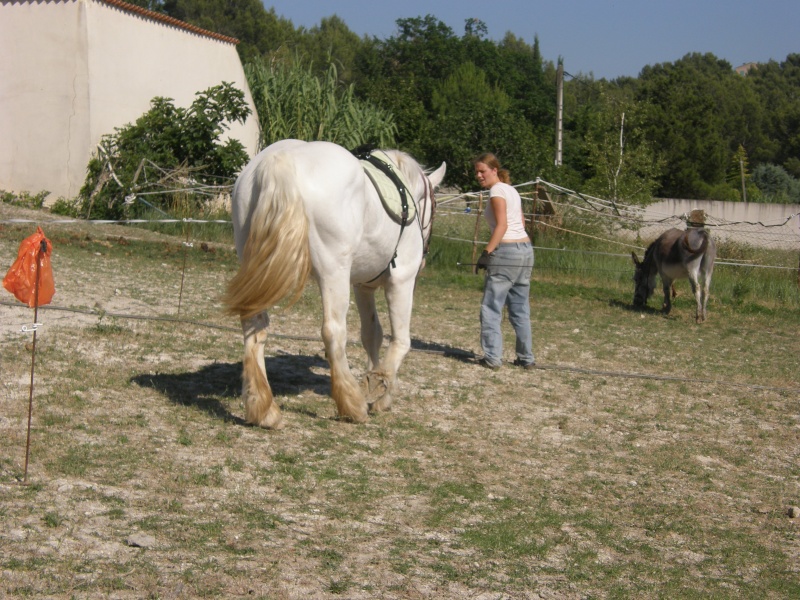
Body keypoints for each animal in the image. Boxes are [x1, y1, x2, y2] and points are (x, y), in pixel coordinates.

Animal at [225, 138, 446, 428]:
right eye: (434, 206)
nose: (423, 262)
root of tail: (281, 160)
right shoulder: (401, 281)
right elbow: (400, 341)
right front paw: (382, 392)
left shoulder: (363, 286)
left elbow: (371, 334)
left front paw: (373, 381)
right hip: (333, 272)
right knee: (333, 331)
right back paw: (352, 405)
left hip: (258, 271)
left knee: (255, 327)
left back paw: (264, 410)